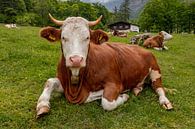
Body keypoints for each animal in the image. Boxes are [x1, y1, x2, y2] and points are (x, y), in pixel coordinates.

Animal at [35, 13, 173, 118]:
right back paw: (137, 89)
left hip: (155, 70)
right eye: (63, 37)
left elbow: (106, 102)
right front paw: (42, 105)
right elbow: (50, 81)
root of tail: (139, 47)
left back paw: (165, 102)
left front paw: (123, 95)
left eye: (87, 37)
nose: (76, 60)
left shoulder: (115, 82)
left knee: (159, 88)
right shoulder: (65, 82)